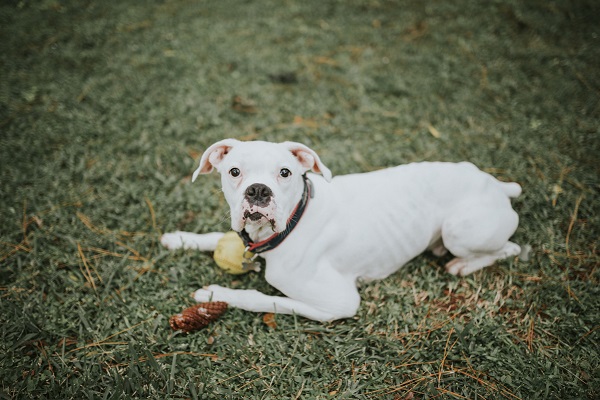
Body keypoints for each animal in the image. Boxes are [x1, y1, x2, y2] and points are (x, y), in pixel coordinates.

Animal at [162, 139, 524, 320]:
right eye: (234, 172)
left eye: (285, 172)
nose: (258, 191)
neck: (293, 221)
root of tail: (496, 184)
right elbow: (213, 238)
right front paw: (180, 238)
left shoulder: (339, 304)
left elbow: (264, 299)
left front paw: (215, 295)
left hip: (458, 231)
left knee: (511, 248)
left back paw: (462, 265)